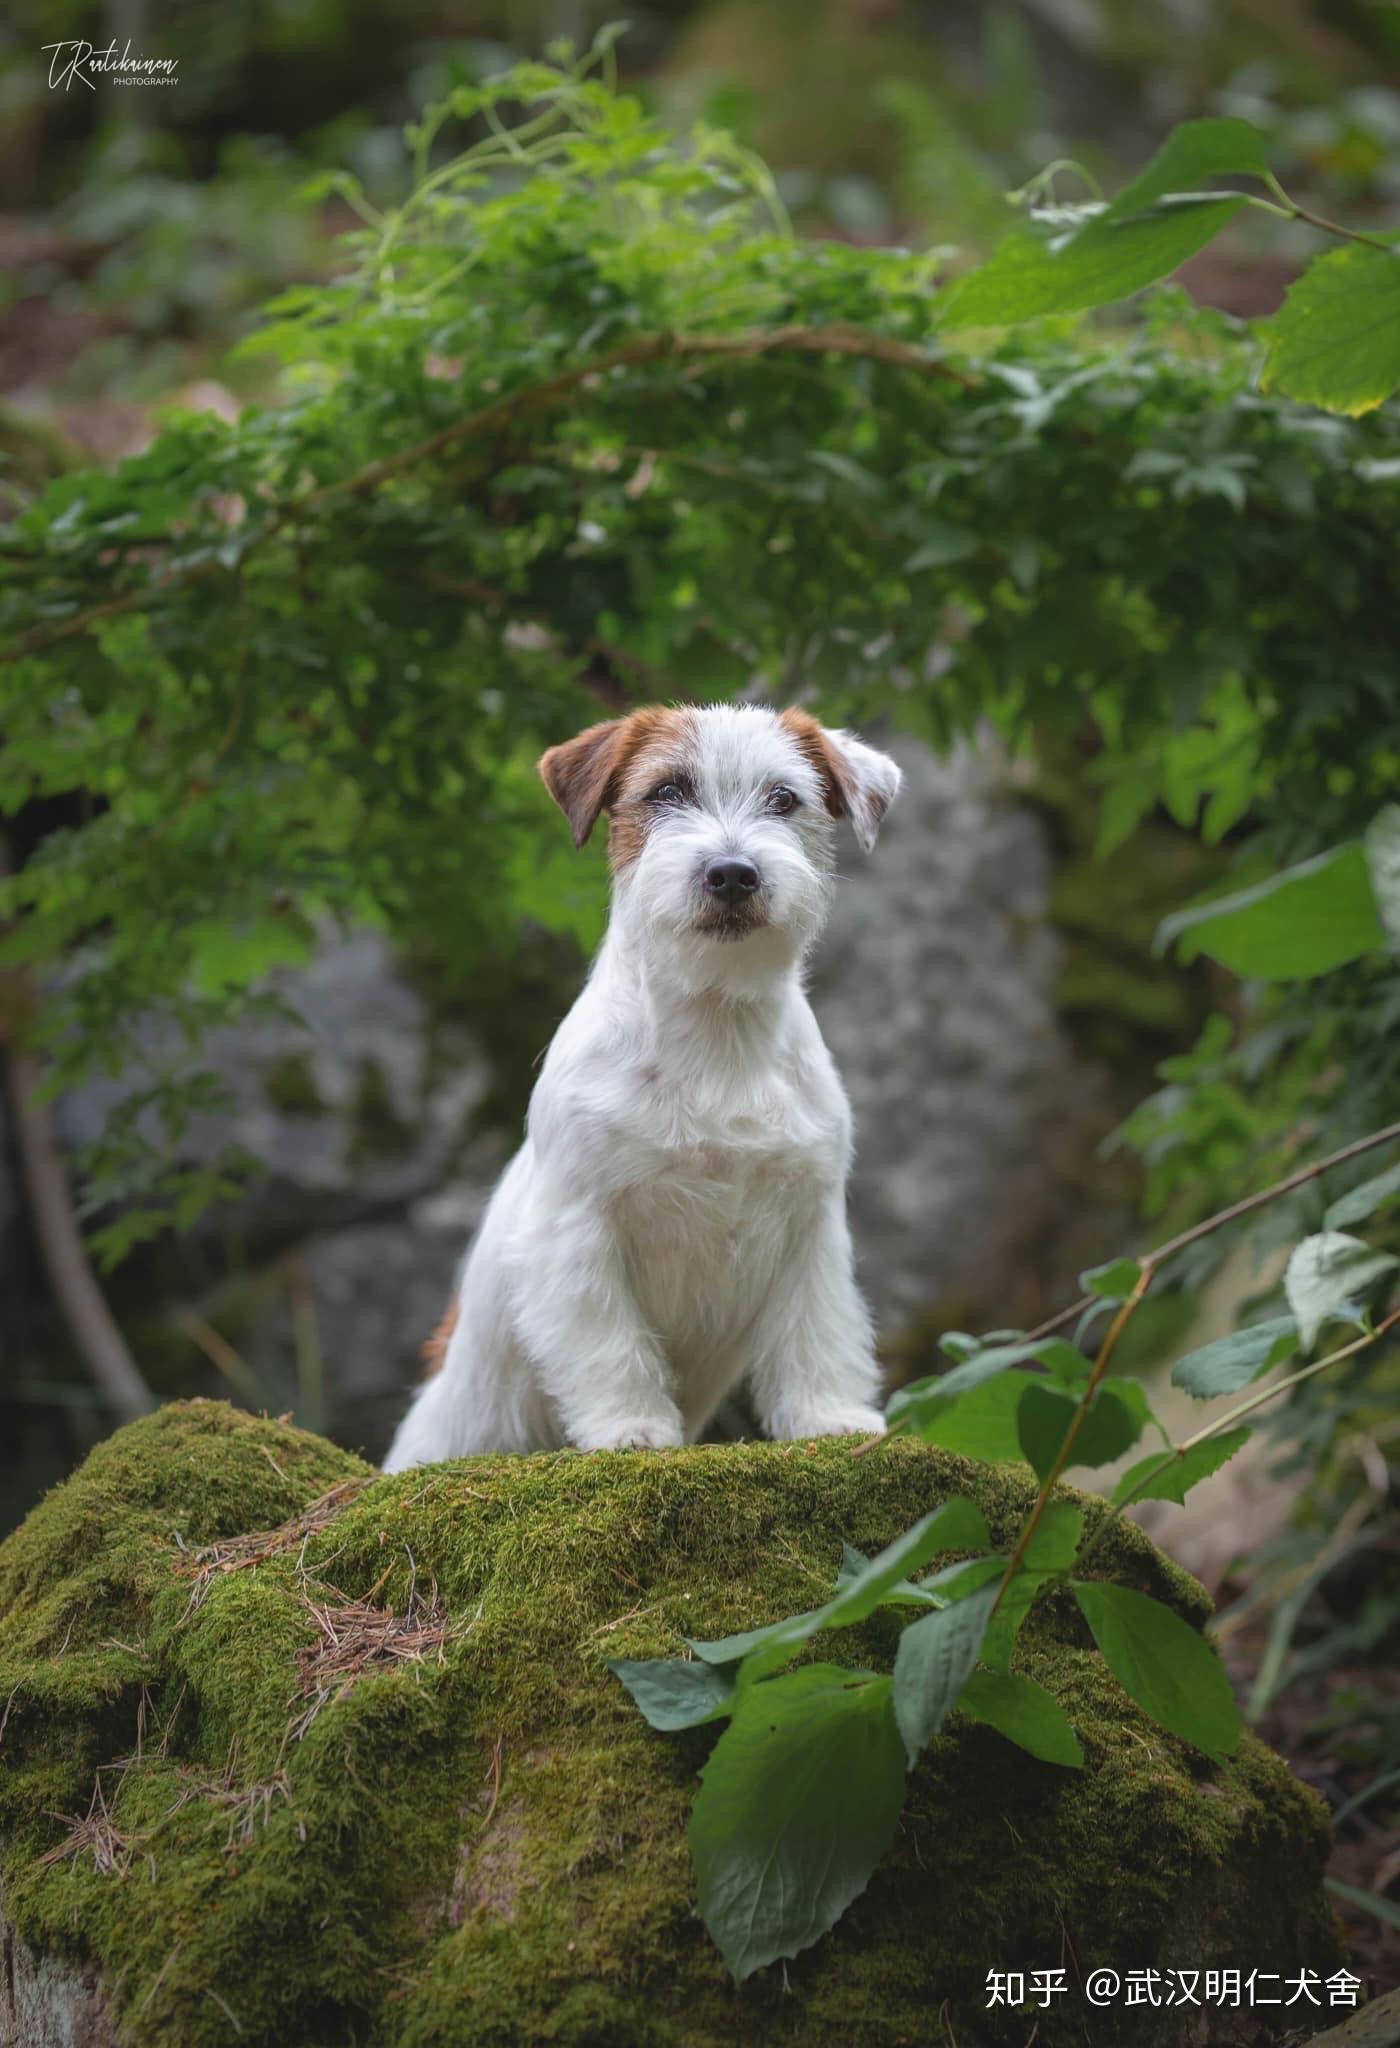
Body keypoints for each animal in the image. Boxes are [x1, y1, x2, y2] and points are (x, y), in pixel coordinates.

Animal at [382, 704, 900, 1474]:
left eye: (784, 799)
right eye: (666, 792)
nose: (732, 873)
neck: (715, 1029)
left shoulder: (810, 1223)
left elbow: (818, 1329)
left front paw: (828, 1415)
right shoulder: (579, 1227)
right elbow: (610, 1344)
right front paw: (632, 1428)